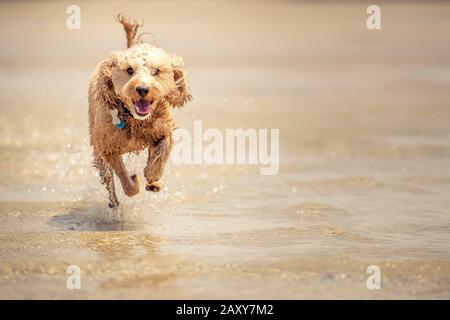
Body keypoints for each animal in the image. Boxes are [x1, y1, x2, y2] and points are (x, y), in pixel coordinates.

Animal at [88, 15, 192, 211]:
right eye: (129, 70)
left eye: (156, 71)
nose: (143, 89)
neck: (135, 120)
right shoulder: (108, 148)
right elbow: (122, 175)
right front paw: (133, 183)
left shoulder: (164, 130)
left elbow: (162, 151)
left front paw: (152, 175)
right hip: (97, 148)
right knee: (109, 179)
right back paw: (114, 203)